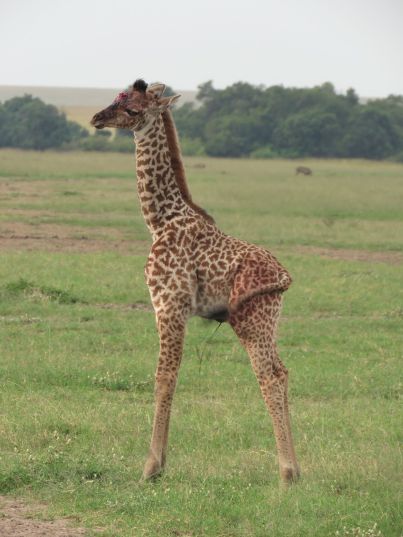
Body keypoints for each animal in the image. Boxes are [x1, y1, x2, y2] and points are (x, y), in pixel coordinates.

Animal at [91, 80, 300, 484]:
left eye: (133, 109)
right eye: (117, 96)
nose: (96, 118)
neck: (160, 220)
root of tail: (284, 277)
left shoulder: (168, 305)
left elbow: (164, 376)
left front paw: (151, 468)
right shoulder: (173, 310)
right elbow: (169, 375)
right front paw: (159, 463)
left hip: (250, 321)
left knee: (268, 377)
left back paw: (286, 474)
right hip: (269, 321)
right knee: (282, 372)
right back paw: (297, 469)